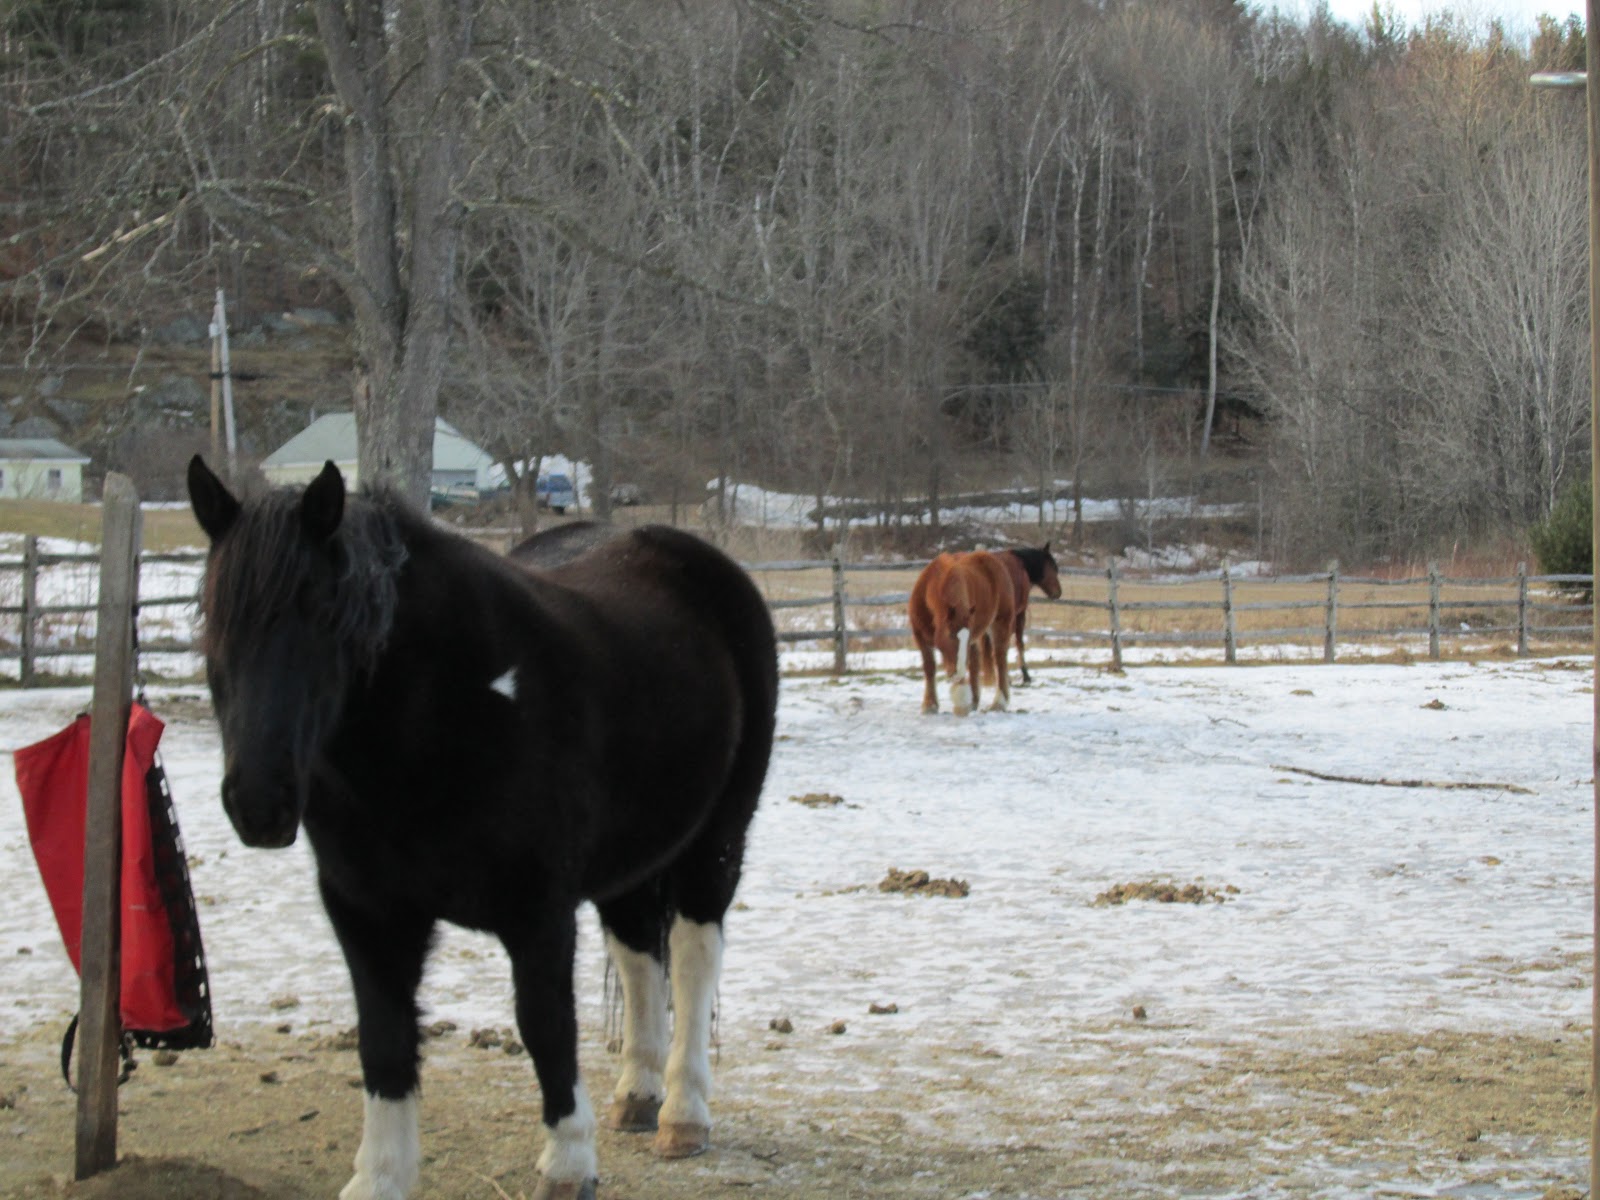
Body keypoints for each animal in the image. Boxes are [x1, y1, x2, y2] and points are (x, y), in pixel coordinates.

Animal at [186, 456, 778, 1200]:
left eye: (325, 614)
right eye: (214, 615)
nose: (259, 801)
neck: (441, 718)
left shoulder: (539, 909)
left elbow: (546, 1024)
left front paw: (568, 1164)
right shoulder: (365, 909)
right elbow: (383, 1037)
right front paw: (379, 1176)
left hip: (717, 839)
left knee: (694, 958)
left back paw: (683, 1113)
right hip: (632, 857)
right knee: (640, 954)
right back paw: (639, 1096)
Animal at [908, 550, 1015, 716]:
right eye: (951, 635)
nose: (956, 673)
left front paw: (961, 702)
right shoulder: (919, 635)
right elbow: (929, 666)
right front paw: (930, 705)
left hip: (1000, 623)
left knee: (1000, 659)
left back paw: (999, 703)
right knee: (976, 661)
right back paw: (974, 701)